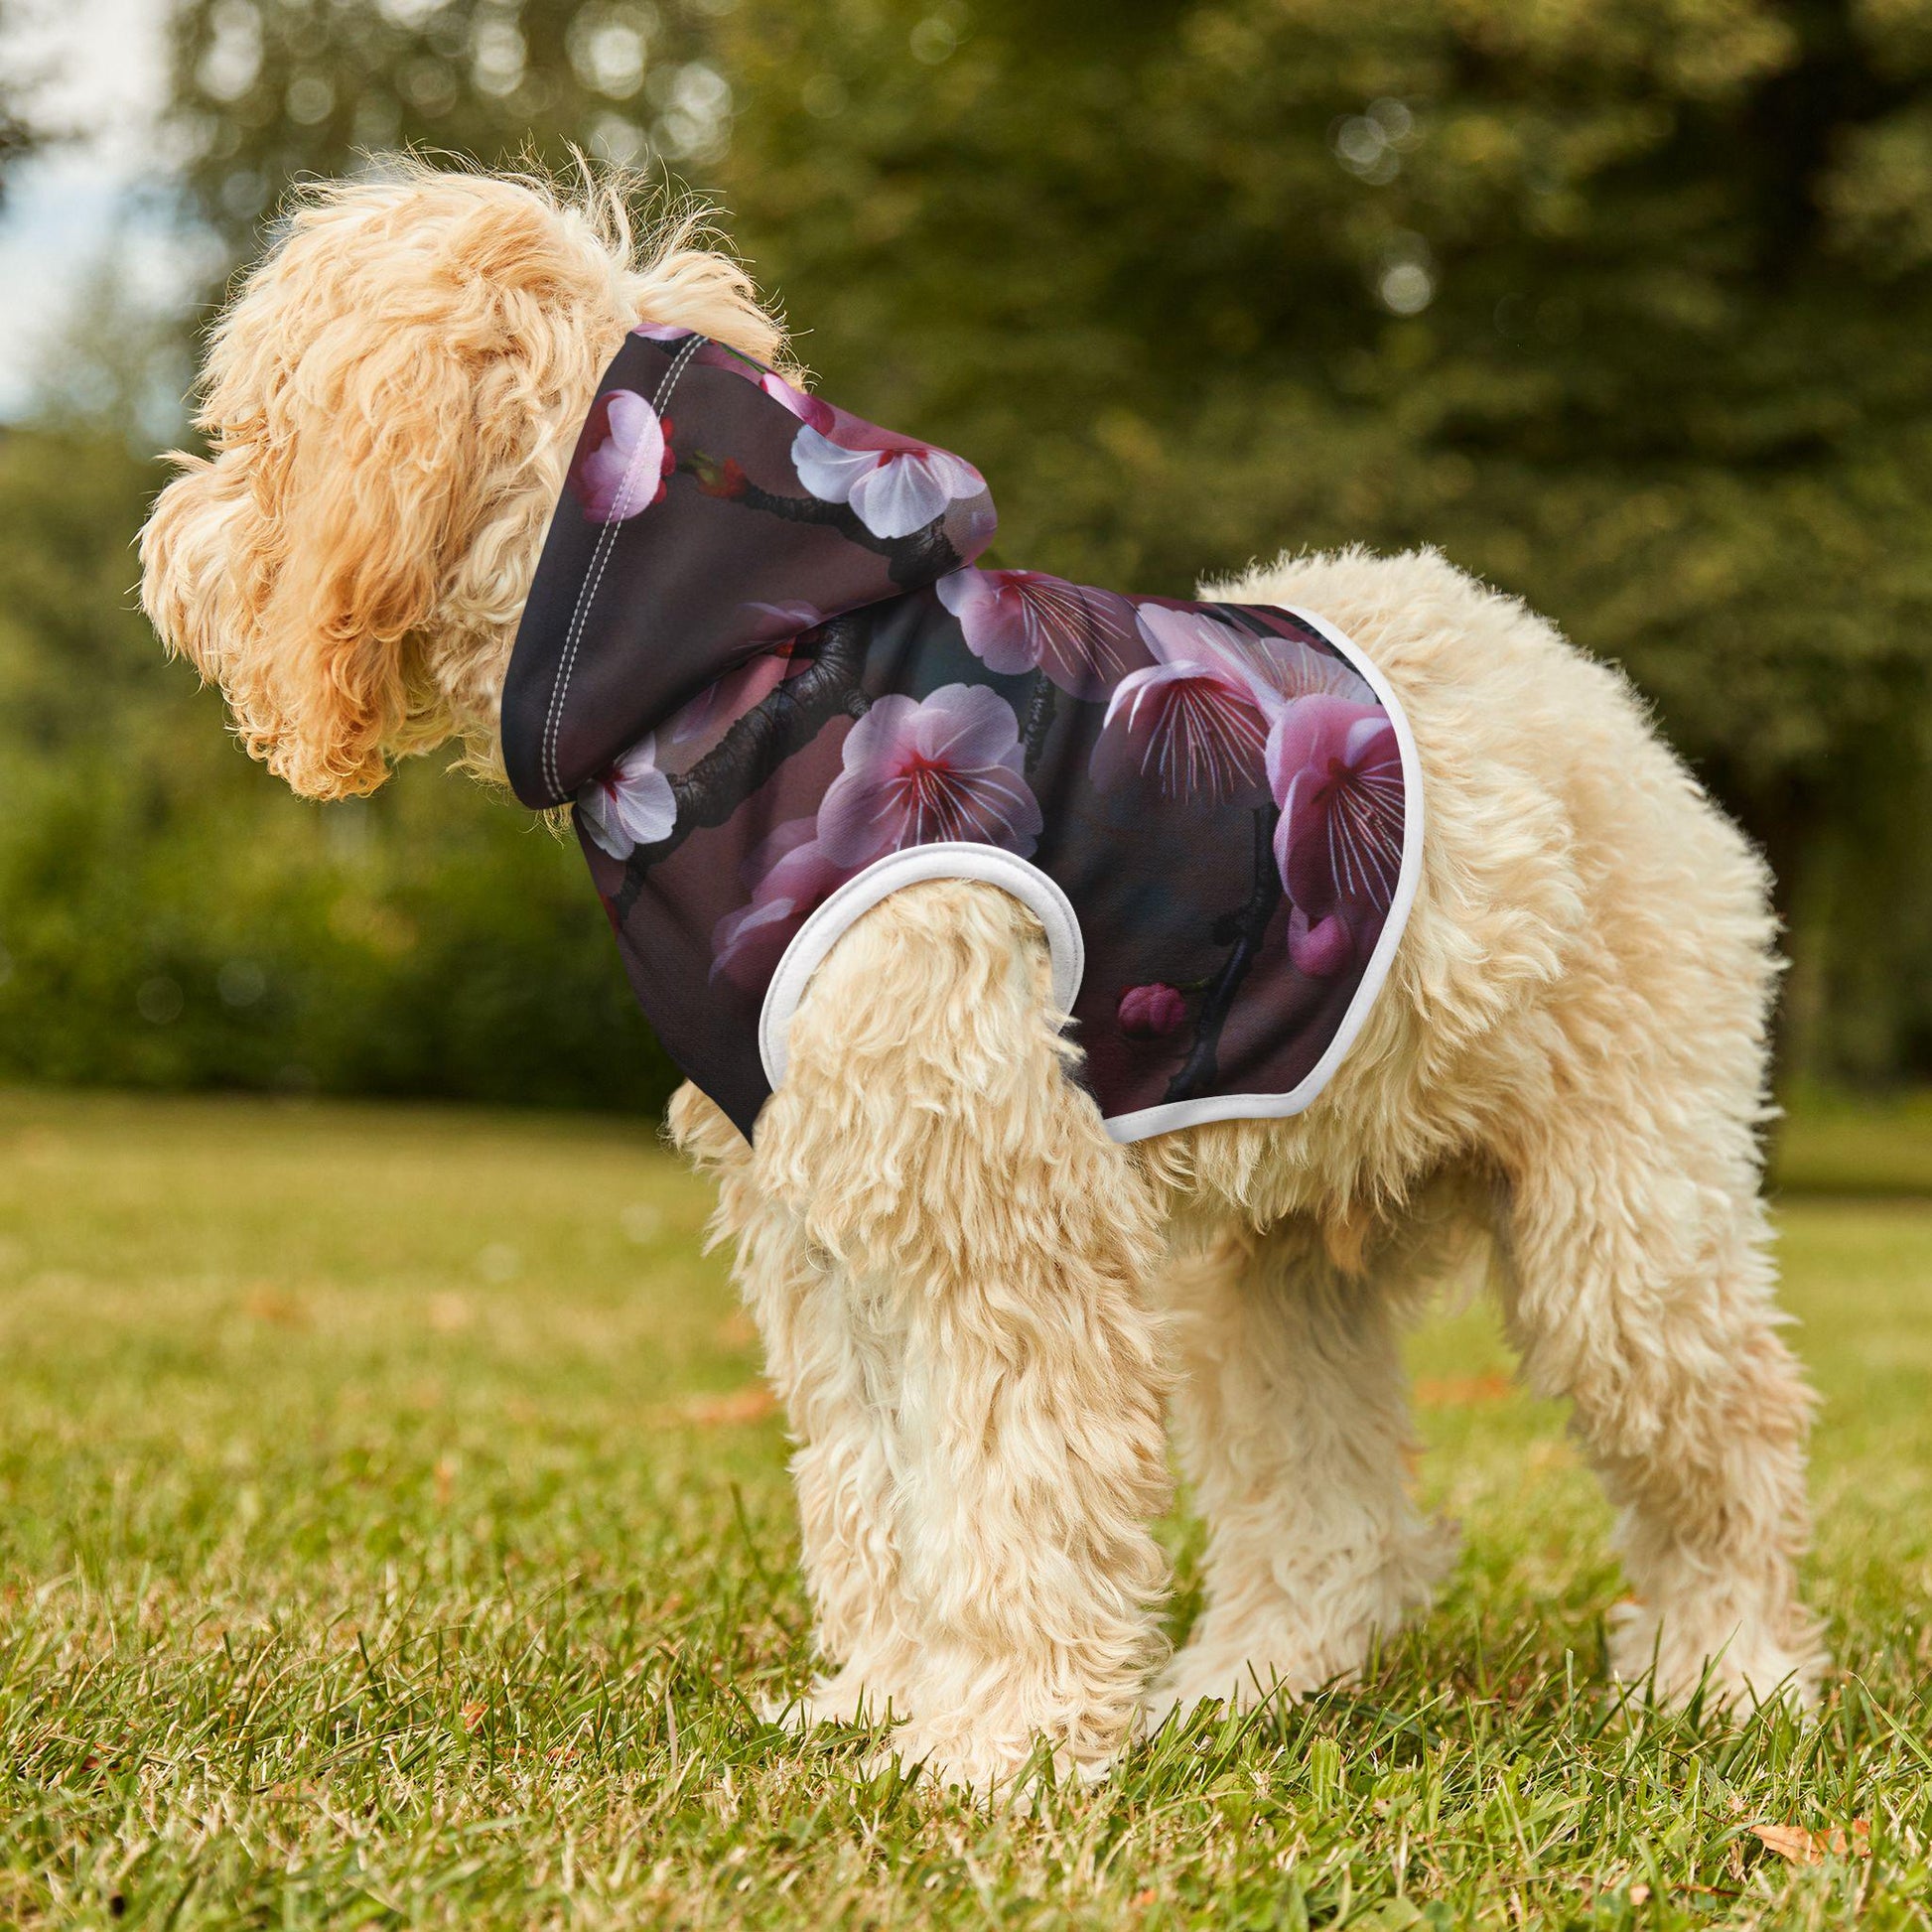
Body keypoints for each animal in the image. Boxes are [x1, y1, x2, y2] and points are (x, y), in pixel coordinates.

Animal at [140, 166, 1824, 1792]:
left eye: (256, 431)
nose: (165, 546)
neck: (737, 666)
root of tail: (1589, 695)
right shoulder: (827, 1218)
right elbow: (878, 1483)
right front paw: (885, 1701)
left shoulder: (994, 1207)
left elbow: (1014, 1482)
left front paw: (995, 1745)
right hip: (1270, 1269)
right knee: (1329, 1512)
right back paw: (1245, 1684)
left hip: (1623, 1224)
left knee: (1728, 1438)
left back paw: (1725, 1674)